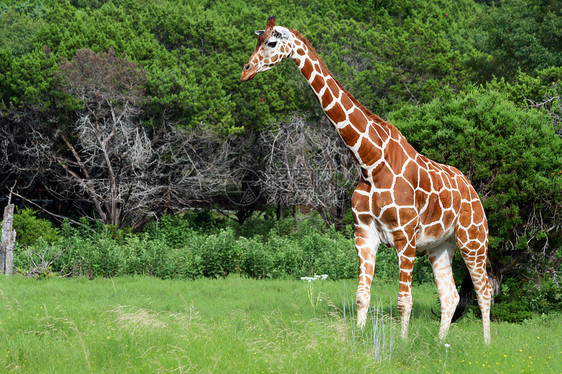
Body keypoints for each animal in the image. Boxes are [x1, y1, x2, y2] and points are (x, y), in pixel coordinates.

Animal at [241, 17, 490, 344]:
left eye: (271, 43)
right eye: (257, 41)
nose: (245, 71)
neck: (371, 162)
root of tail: (474, 191)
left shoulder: (405, 237)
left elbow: (404, 300)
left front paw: (402, 344)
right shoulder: (364, 234)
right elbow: (362, 296)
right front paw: (360, 340)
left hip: (473, 240)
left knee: (484, 292)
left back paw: (487, 345)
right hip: (441, 246)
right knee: (450, 296)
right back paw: (440, 343)